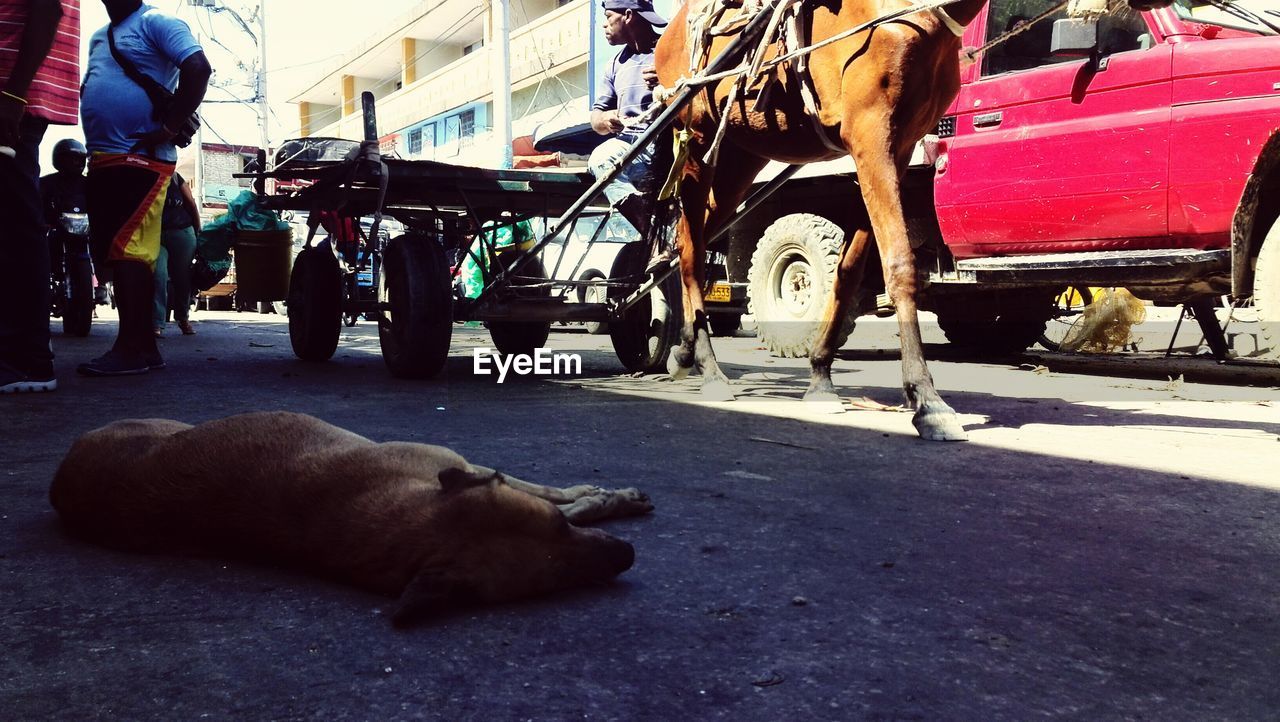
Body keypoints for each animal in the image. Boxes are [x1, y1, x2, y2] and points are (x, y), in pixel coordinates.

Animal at [51, 412, 655, 627]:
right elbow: (561, 493)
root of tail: (62, 475)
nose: (627, 555)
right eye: (552, 582)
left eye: (560, 538)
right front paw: (606, 497)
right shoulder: (461, 464)